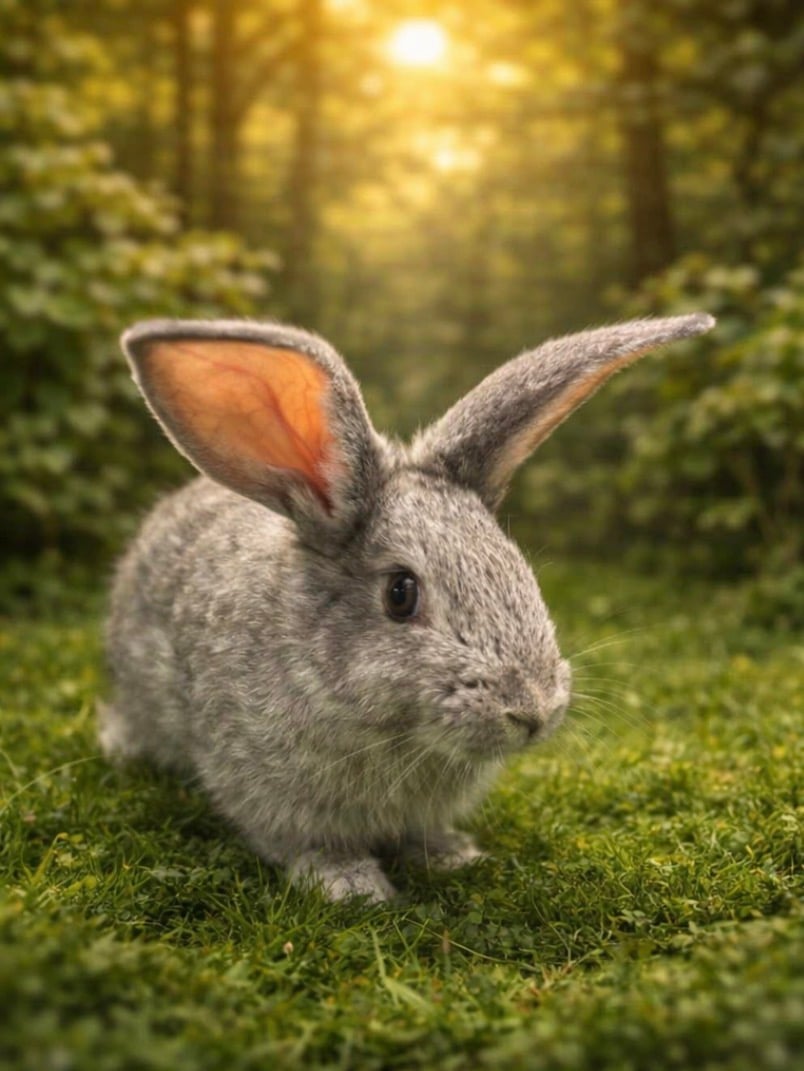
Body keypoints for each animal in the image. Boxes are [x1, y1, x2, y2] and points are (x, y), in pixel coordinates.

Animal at [101, 311, 715, 902]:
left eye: (515, 565)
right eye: (401, 593)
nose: (533, 711)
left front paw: (452, 855)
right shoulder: (265, 787)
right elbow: (303, 840)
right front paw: (352, 886)